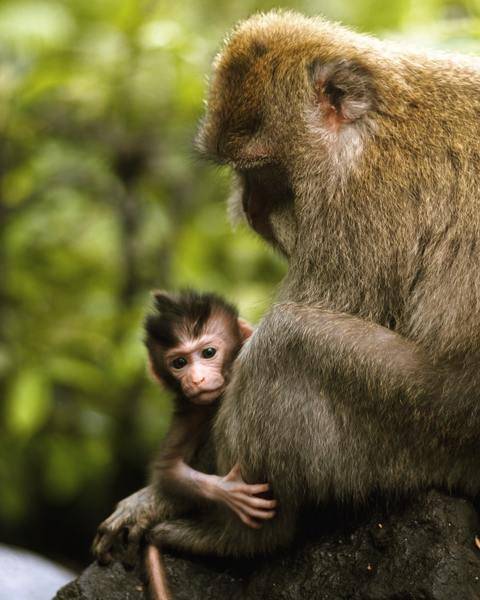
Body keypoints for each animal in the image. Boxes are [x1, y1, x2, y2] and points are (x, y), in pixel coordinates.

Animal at [94, 9, 480, 560]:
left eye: (263, 168)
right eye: (239, 172)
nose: (250, 209)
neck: (374, 120)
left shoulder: (358, 206)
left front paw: (159, 497)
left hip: (432, 424)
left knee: (289, 344)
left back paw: (239, 537)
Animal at [144, 290, 276, 596]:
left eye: (208, 353)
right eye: (179, 363)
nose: (197, 379)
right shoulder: (191, 410)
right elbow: (168, 468)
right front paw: (230, 492)